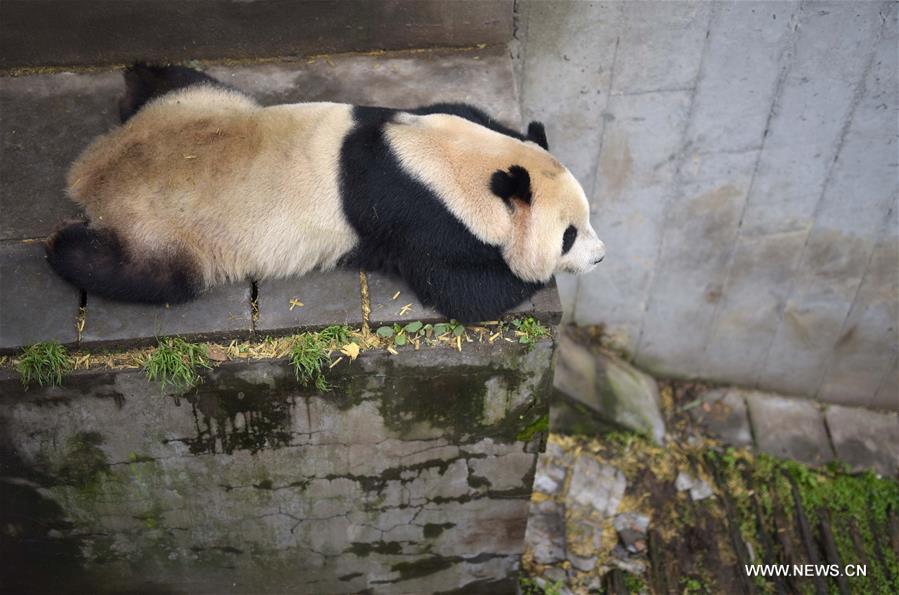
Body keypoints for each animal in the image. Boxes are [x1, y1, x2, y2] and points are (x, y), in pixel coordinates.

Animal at [45, 64, 608, 324]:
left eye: (587, 220)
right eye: (568, 235)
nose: (601, 257)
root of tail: (92, 172)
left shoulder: (442, 120)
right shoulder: (422, 220)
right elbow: (462, 292)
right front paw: (531, 278)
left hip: (200, 101)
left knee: (169, 79)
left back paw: (132, 84)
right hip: (168, 233)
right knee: (146, 275)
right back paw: (62, 244)